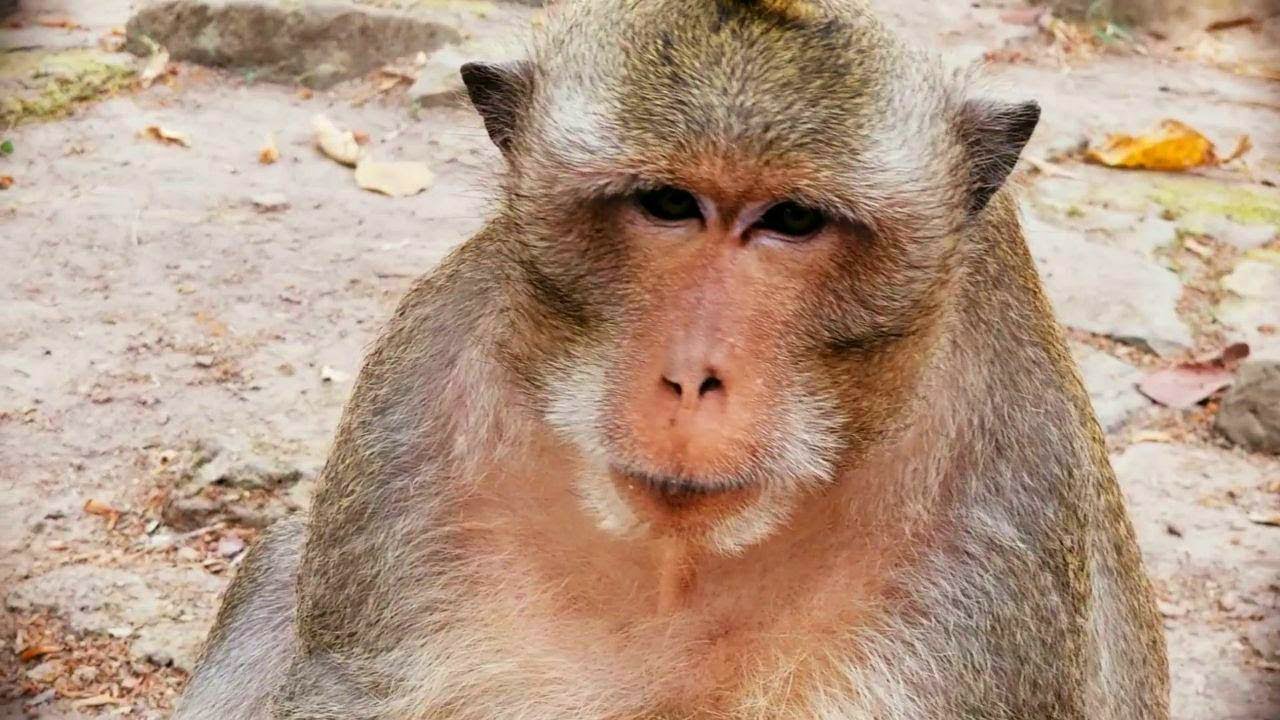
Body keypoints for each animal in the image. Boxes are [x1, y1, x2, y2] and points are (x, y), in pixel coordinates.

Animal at [173, 0, 1169, 718]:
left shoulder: (994, 537)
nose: (692, 378)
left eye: (792, 219)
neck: (680, 562)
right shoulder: (417, 413)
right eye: (667, 204)